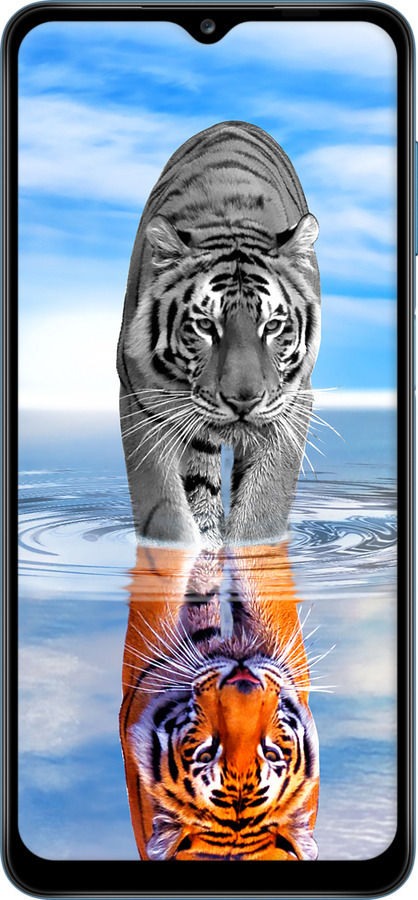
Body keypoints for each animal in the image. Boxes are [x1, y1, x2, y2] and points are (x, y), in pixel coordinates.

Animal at [117, 121, 321, 548]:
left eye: (272, 326)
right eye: (205, 325)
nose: (243, 401)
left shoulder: (292, 404)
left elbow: (263, 508)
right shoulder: (141, 401)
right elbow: (165, 511)